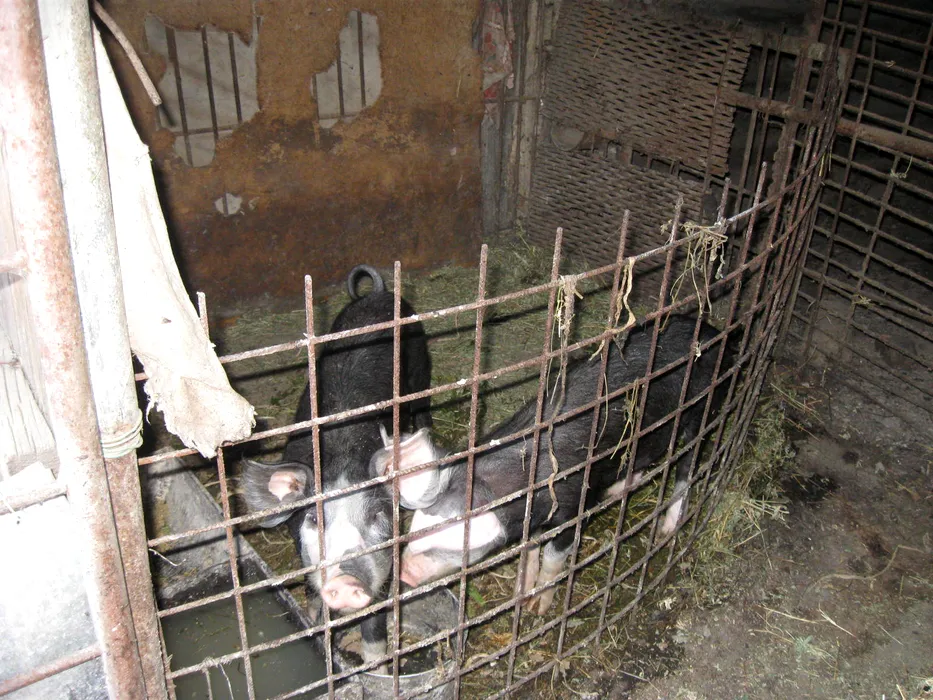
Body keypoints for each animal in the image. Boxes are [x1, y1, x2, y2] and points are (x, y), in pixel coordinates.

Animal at [242, 264, 431, 667]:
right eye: (314, 519)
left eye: (377, 516)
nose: (346, 581)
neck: (344, 455)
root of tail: (378, 292)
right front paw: (316, 624)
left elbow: (376, 617)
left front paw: (377, 664)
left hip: (420, 362)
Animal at [370, 316, 734, 614]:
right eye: (417, 527)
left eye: (453, 545)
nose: (403, 572)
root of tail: (714, 332)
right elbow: (530, 548)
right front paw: (520, 591)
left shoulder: (574, 503)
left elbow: (555, 556)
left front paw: (537, 609)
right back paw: (617, 492)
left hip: (701, 409)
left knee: (687, 465)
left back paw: (667, 529)